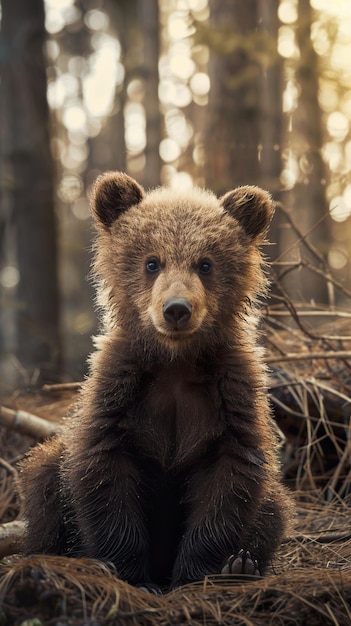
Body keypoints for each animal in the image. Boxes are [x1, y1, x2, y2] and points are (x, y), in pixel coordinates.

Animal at [17, 172, 292, 588]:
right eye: (152, 261)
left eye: (205, 263)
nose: (177, 309)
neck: (175, 362)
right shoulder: (120, 392)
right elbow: (103, 471)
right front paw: (128, 571)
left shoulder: (230, 394)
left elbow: (231, 477)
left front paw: (198, 572)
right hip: (50, 472)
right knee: (44, 479)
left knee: (274, 505)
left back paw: (242, 564)